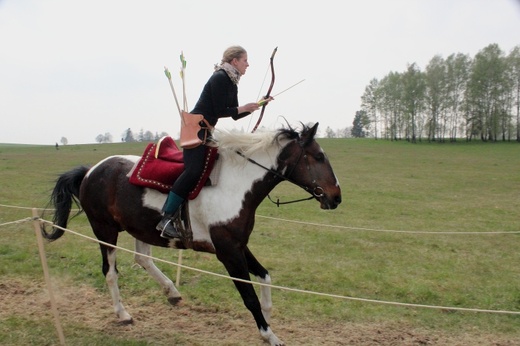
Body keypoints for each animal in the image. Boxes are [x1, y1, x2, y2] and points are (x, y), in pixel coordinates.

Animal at [41, 122, 342, 346]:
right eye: (318, 157)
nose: (336, 197)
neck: (235, 185)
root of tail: (90, 170)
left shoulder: (238, 245)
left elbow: (265, 276)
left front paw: (268, 316)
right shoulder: (228, 253)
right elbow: (249, 296)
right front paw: (269, 334)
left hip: (140, 228)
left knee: (142, 259)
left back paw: (171, 292)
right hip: (105, 230)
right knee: (110, 272)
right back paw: (123, 313)